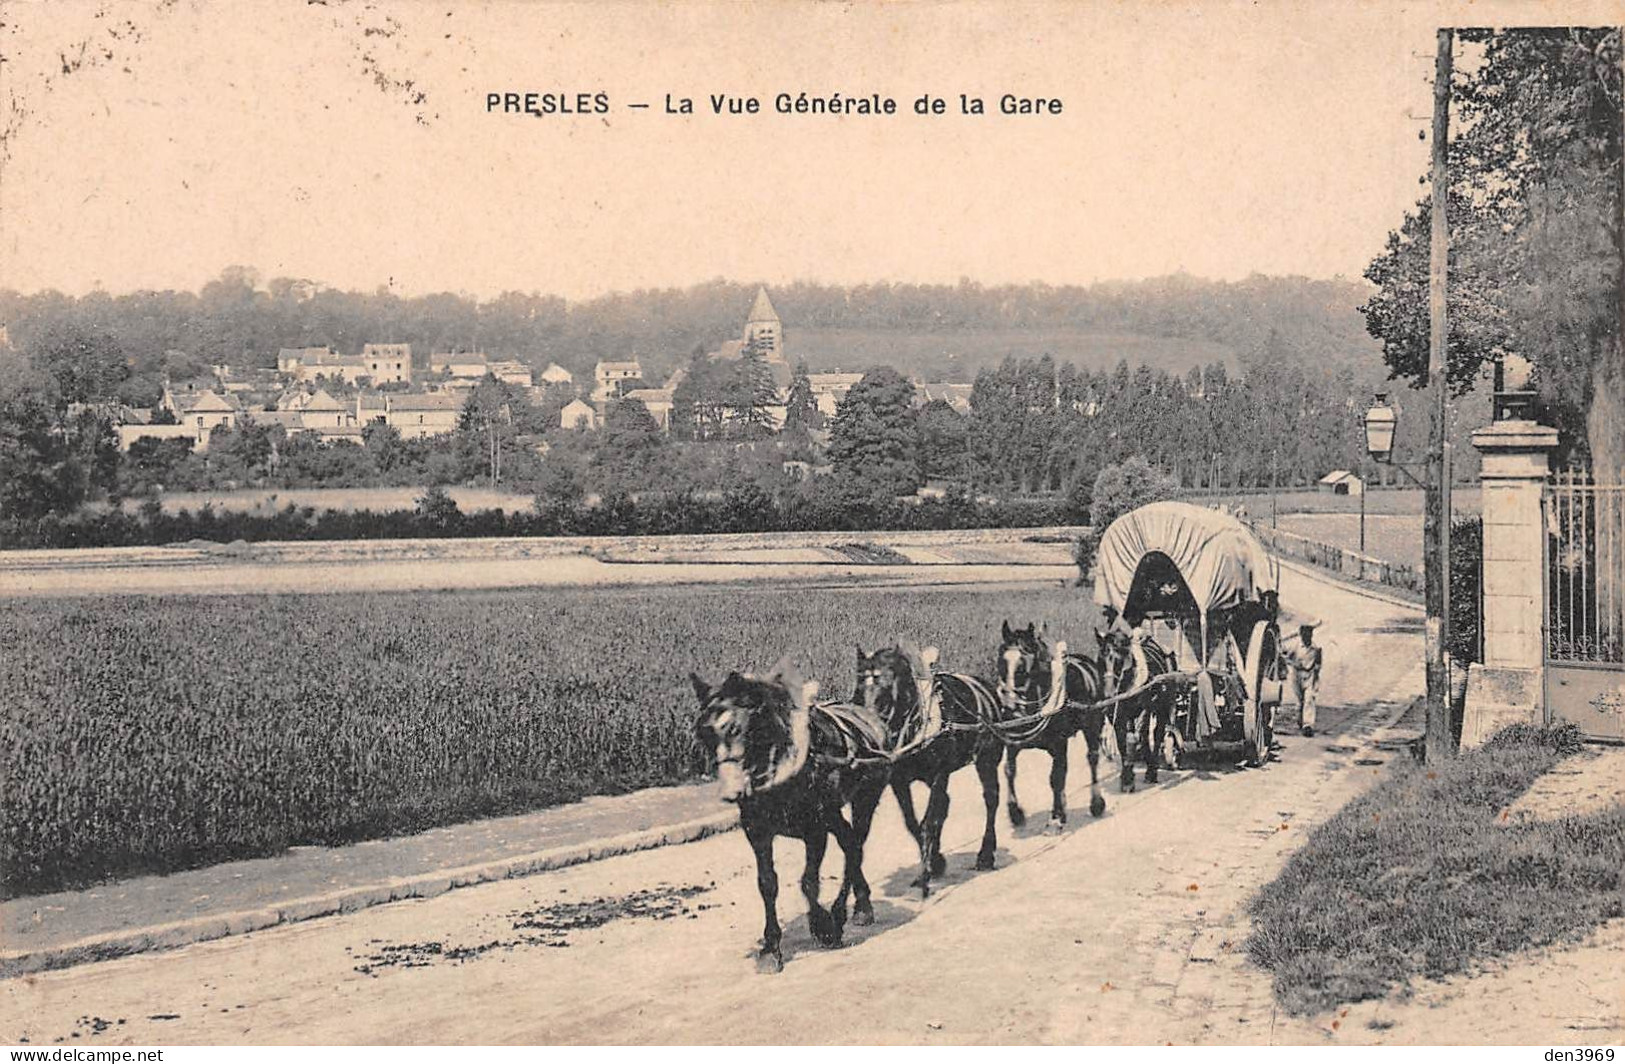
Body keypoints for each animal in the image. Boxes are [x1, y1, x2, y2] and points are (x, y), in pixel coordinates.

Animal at [689, 669, 890, 981]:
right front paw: (770, 949)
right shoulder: (757, 831)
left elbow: (808, 882)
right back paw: (859, 905)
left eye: (737, 728)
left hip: (864, 800)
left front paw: (823, 926)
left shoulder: (815, 829)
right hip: (835, 814)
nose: (732, 790)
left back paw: (846, 911)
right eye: (705, 732)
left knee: (855, 846)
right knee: (849, 843)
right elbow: (767, 884)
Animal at [851, 646, 1001, 896]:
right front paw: (935, 861)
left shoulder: (941, 774)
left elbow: (928, 823)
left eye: (887, 691)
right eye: (859, 688)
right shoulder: (899, 781)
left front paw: (924, 877)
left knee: (991, 799)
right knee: (945, 805)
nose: (870, 735)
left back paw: (985, 855)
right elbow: (913, 823)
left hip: (986, 759)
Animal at [994, 623, 1111, 831]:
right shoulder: (1013, 744)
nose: (1008, 709)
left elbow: (1056, 777)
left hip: (1092, 725)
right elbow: (1009, 771)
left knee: (1092, 758)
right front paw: (1015, 813)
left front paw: (1056, 817)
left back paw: (1096, 803)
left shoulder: (1059, 743)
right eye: (1001, 662)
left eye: (1022, 668)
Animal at [1098, 623, 1176, 789]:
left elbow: (1140, 736)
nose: (1108, 694)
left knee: (1157, 733)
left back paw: (1152, 768)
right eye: (1100, 659)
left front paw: (1147, 771)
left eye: (1119, 661)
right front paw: (1127, 777)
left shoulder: (1145, 708)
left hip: (1163, 705)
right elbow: (1122, 740)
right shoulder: (1115, 714)